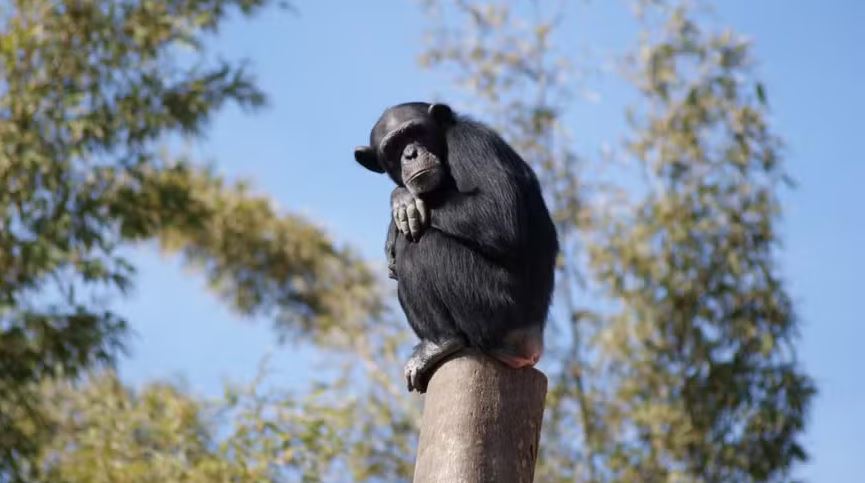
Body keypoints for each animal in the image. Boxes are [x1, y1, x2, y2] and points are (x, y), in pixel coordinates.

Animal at [354, 102, 556, 394]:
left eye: (415, 132)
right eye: (393, 147)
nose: (411, 154)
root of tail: (531, 347)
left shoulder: (472, 143)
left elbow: (497, 214)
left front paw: (401, 200)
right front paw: (401, 202)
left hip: (494, 308)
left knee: (421, 245)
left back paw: (440, 343)